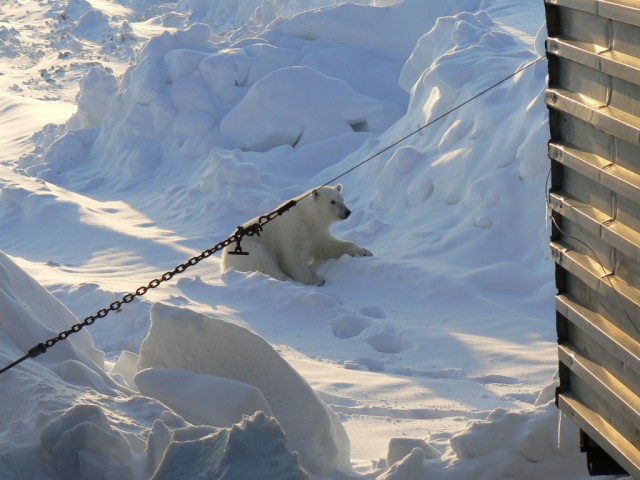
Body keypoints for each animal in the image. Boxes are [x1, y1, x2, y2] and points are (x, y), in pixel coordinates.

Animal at [220, 185, 372, 284]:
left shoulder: (316, 232)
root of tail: (223, 260)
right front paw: (315, 281)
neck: (307, 217)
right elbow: (293, 256)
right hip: (248, 250)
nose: (347, 212)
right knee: (262, 261)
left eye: (342, 199)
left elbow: (328, 247)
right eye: (332, 201)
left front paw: (364, 251)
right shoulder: (293, 229)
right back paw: (285, 279)